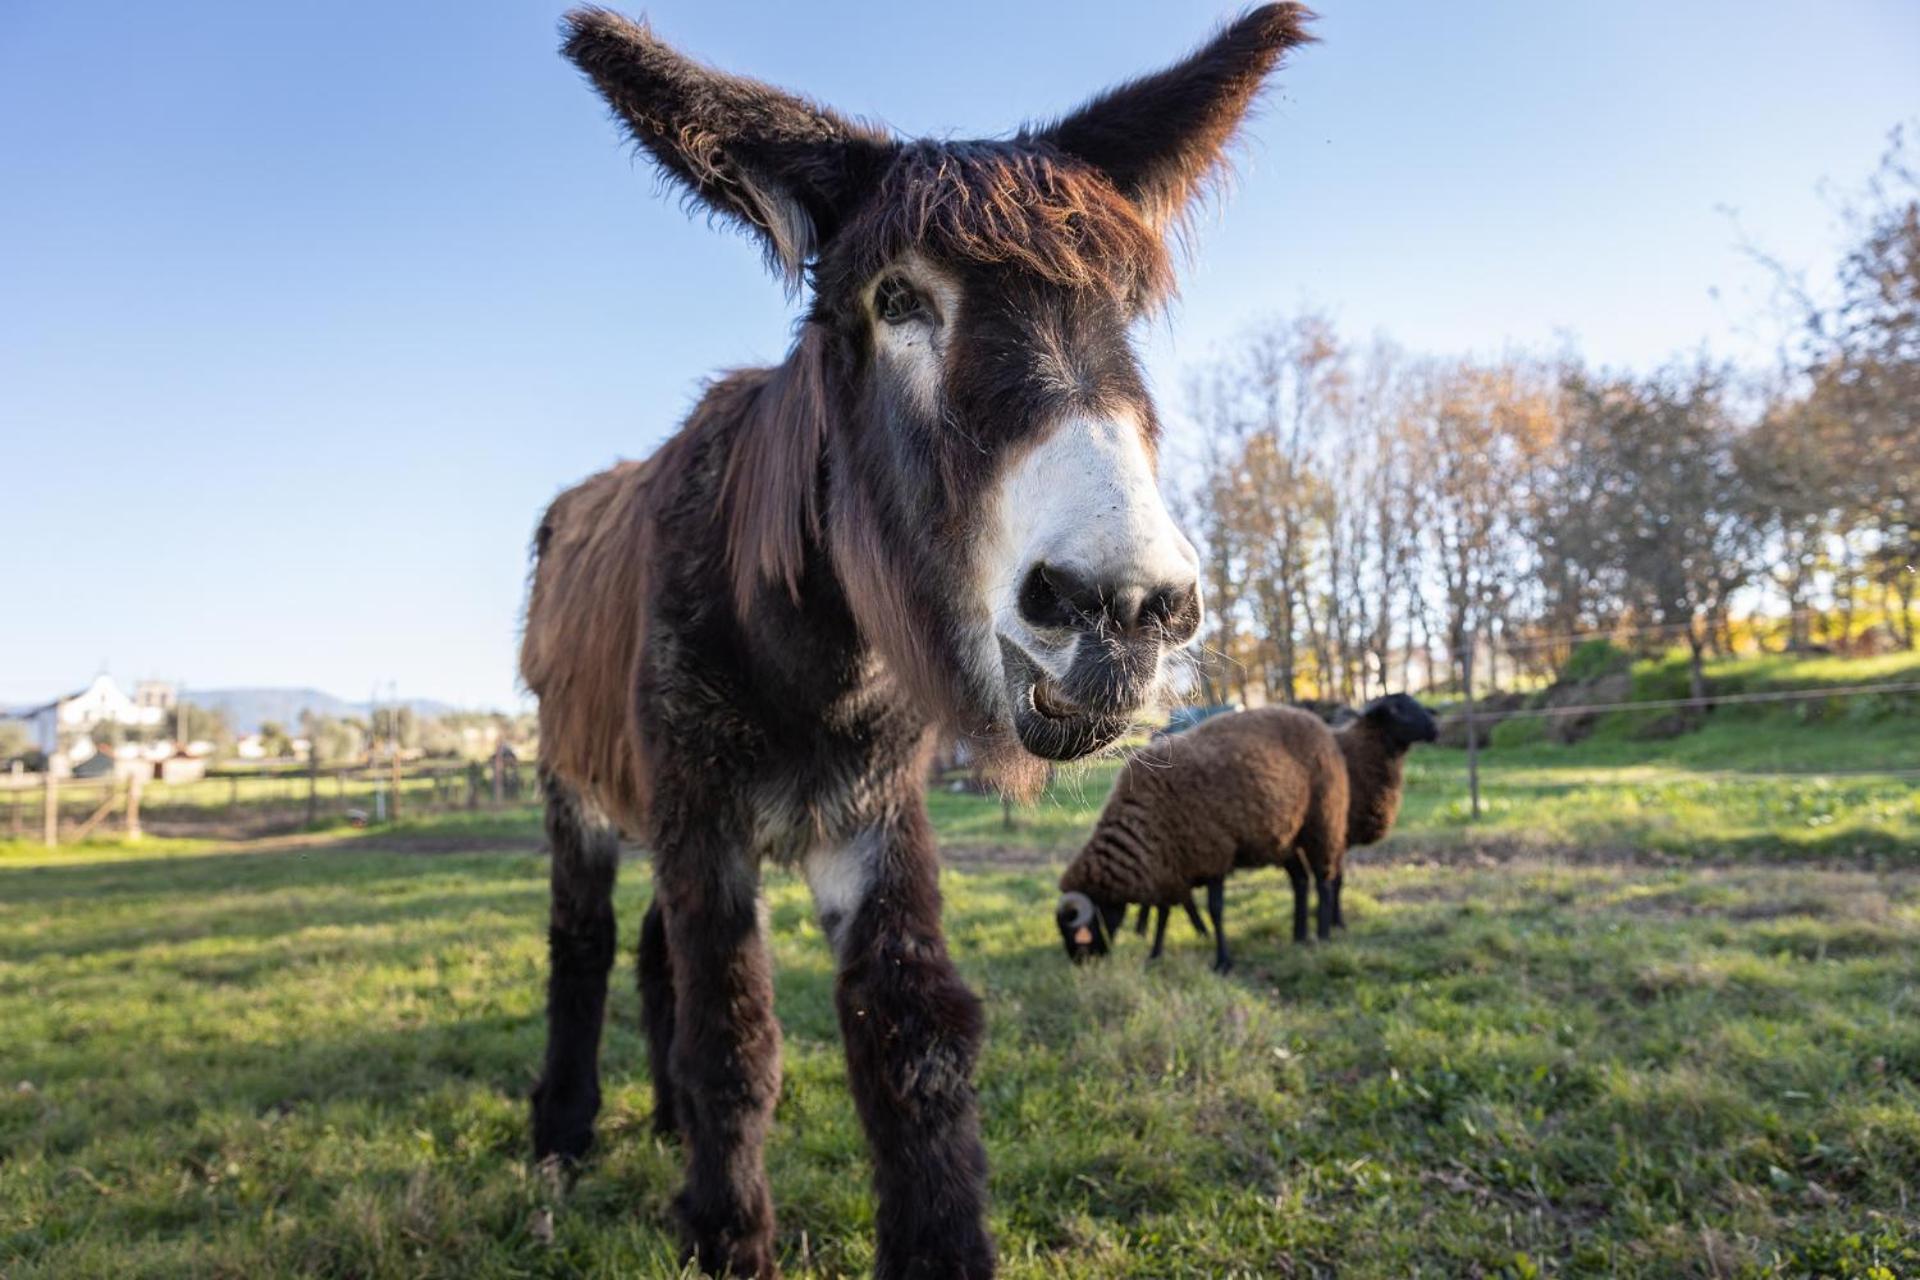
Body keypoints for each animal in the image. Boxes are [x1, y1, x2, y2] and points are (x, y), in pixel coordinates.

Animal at [1052, 710, 1351, 971]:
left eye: (1079, 930)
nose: (1082, 964)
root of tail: (1317, 723)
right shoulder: (1170, 867)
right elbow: (1163, 914)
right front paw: (1155, 955)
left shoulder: (1212, 856)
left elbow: (1215, 910)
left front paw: (1222, 961)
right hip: (1284, 839)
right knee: (1300, 880)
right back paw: (1299, 936)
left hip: (1322, 822)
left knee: (1324, 879)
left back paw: (1323, 936)